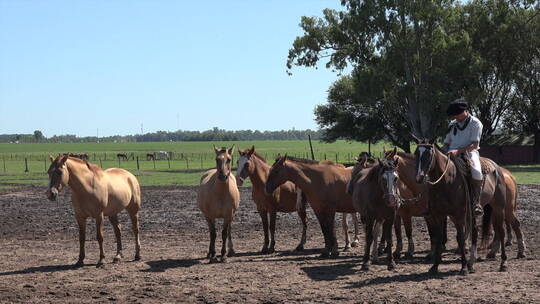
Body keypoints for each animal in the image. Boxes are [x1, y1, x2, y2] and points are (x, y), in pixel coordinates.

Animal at [416, 139, 508, 274]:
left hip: (498, 208)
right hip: (473, 213)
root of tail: (497, 168)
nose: (419, 178)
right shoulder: (439, 215)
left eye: (428, 154)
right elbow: (439, 238)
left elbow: (460, 238)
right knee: (475, 231)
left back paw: (503, 263)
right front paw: (435, 266)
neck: (447, 180)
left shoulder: (458, 215)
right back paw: (472, 263)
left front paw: (463, 267)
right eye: (416, 154)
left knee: (501, 231)